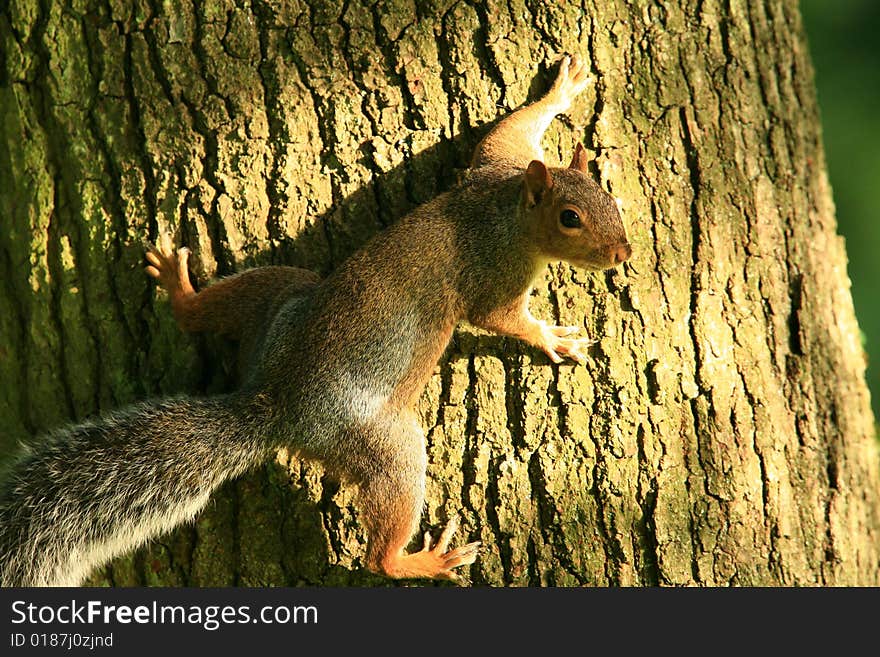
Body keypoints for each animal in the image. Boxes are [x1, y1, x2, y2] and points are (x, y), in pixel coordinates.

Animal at [0, 52, 632, 584]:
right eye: (570, 217)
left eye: (608, 195)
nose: (623, 253)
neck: (506, 209)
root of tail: (273, 403)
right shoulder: (493, 271)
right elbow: (502, 319)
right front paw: (552, 337)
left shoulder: (496, 164)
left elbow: (507, 129)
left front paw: (560, 91)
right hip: (385, 443)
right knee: (379, 551)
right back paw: (422, 560)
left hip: (281, 295)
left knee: (202, 314)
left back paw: (180, 290)